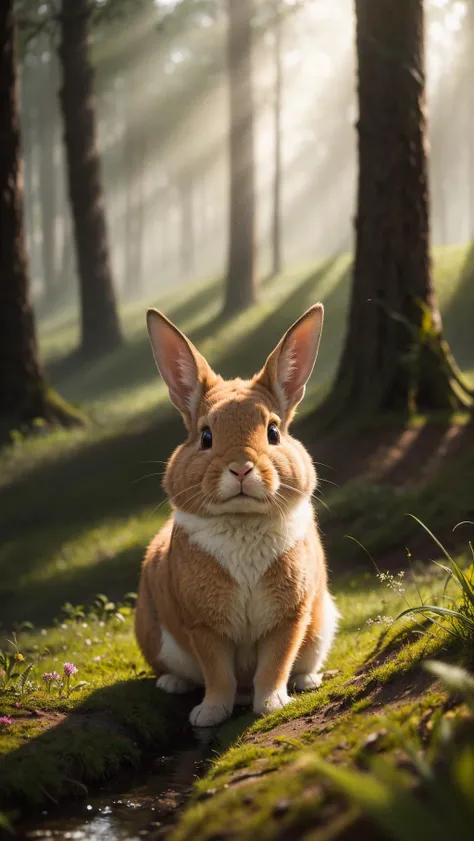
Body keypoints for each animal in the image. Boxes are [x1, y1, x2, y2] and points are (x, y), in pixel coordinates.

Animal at [135, 304, 338, 728]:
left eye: (273, 432)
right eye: (205, 436)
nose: (241, 468)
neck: (242, 520)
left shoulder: (288, 618)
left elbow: (274, 665)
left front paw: (272, 704)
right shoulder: (203, 626)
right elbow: (218, 675)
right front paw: (208, 714)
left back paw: (307, 680)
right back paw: (172, 684)